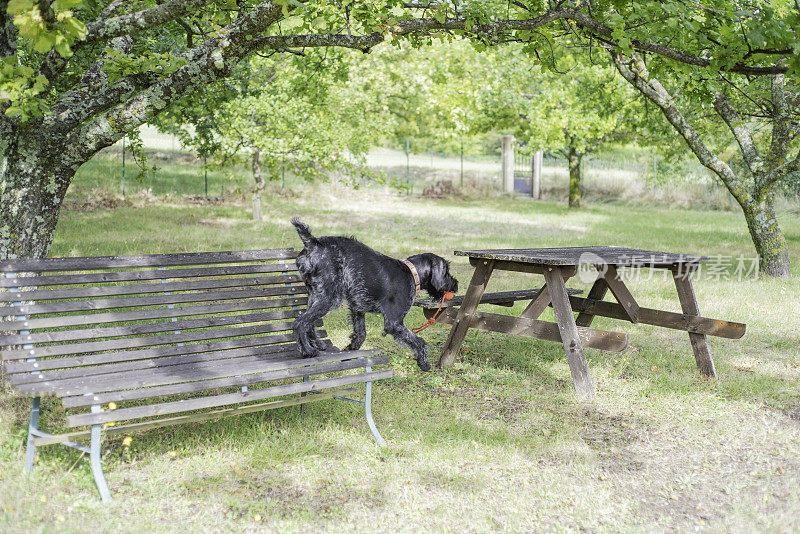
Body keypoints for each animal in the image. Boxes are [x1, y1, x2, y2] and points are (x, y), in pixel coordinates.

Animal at [292, 219, 456, 372]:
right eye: (446, 271)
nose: (456, 285)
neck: (411, 273)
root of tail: (313, 242)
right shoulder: (394, 323)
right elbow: (420, 342)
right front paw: (424, 363)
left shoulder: (358, 309)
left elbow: (361, 334)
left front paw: (350, 349)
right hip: (330, 298)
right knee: (300, 322)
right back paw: (307, 351)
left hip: (315, 295)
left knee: (309, 321)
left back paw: (318, 343)